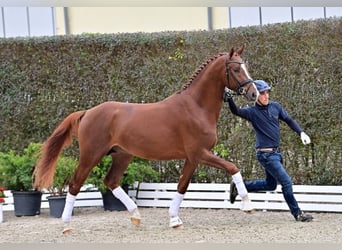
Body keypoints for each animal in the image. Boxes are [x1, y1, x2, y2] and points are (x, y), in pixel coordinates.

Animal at [33, 44, 258, 232]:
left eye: (245, 67)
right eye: (236, 69)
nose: (254, 94)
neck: (196, 107)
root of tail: (87, 112)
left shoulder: (192, 158)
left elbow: (182, 186)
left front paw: (174, 219)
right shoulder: (200, 153)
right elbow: (232, 167)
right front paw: (247, 204)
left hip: (122, 155)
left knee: (111, 181)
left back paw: (136, 215)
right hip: (91, 155)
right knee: (74, 184)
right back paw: (66, 226)